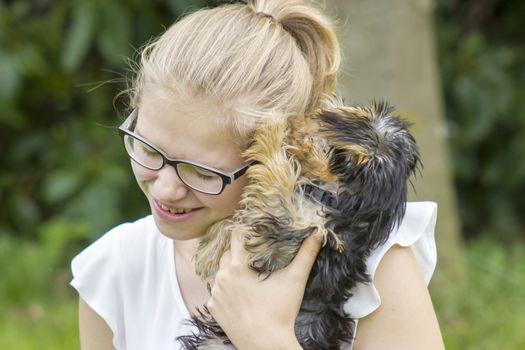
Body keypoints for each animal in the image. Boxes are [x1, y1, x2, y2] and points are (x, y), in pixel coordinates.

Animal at [178, 100, 420, 348]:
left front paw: (273, 126)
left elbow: (279, 175)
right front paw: (208, 251)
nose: (294, 125)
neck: (337, 198)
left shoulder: (287, 236)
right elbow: (243, 214)